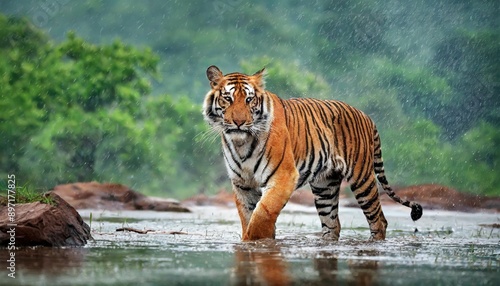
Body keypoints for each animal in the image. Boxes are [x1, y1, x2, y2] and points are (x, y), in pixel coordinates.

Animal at [203, 65, 422, 241]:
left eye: (249, 100)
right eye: (228, 98)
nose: (239, 122)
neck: (242, 143)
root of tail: (367, 116)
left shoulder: (284, 176)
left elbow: (262, 214)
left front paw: (255, 241)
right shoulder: (244, 184)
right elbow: (249, 216)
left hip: (362, 178)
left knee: (378, 220)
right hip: (325, 186)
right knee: (333, 224)